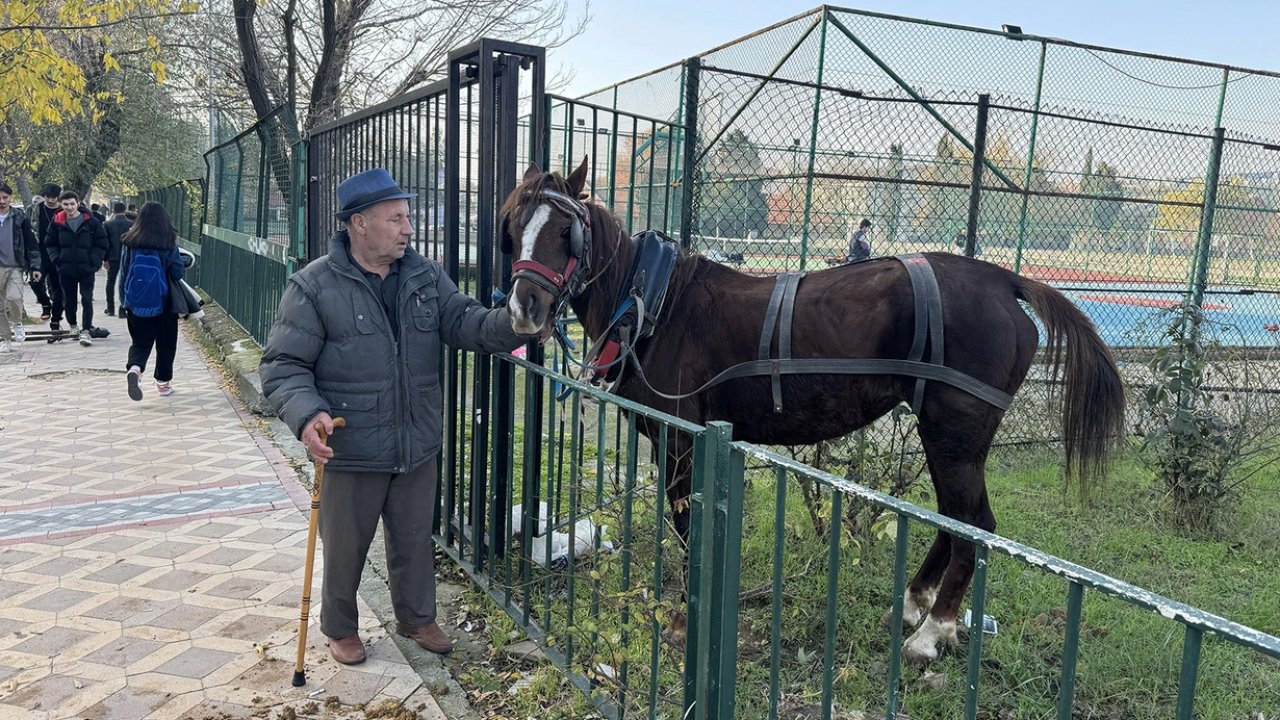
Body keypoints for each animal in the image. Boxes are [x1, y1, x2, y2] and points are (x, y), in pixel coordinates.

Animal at [499, 158, 1121, 661]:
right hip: (949, 434)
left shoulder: (682, 440)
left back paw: (933, 632)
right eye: (513, 229)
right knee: (954, 516)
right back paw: (914, 603)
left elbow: (685, 526)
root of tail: (1004, 278)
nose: (524, 308)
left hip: (954, 430)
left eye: (565, 231)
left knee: (974, 523)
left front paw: (681, 618)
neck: (656, 303)